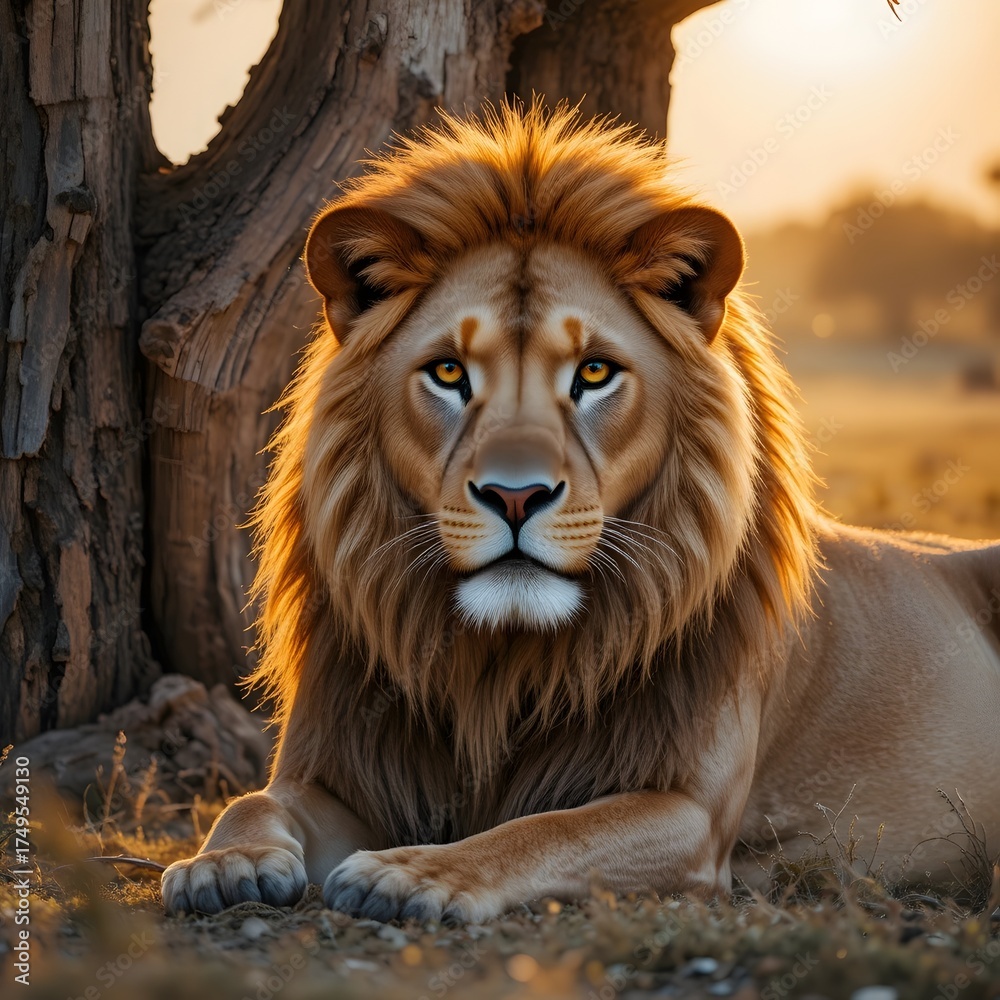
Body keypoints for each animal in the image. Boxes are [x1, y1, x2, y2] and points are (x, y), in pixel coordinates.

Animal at [161, 104, 1000, 921]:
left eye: (594, 373)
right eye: (448, 373)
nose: (516, 496)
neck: (502, 663)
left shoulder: (692, 815)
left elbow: (540, 828)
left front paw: (412, 872)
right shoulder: (340, 770)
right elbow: (251, 800)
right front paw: (223, 864)